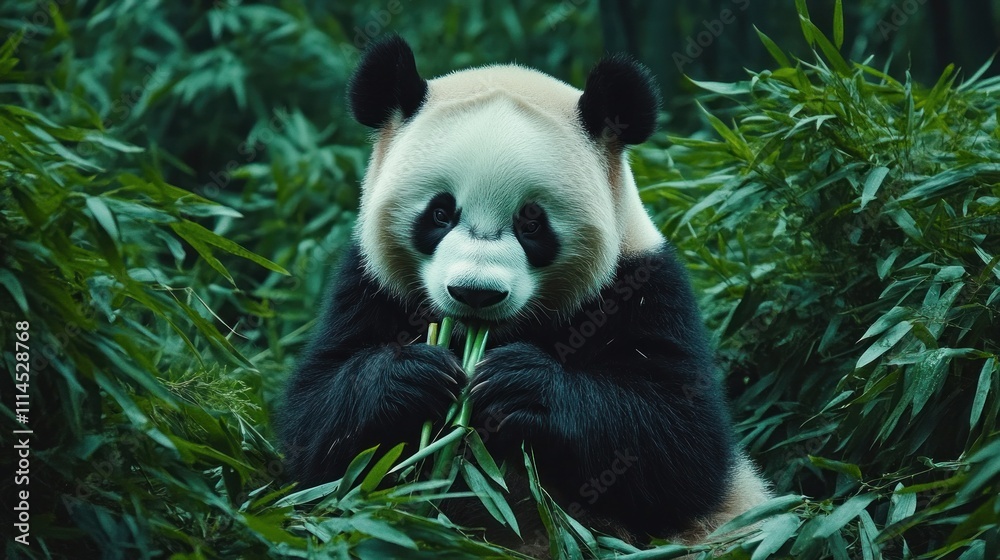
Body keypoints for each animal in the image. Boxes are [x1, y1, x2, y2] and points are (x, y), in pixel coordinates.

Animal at [279, 35, 770, 548]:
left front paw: (520, 385)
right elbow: (316, 430)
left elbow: (682, 445)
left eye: (531, 222)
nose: (475, 293)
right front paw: (412, 377)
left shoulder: (644, 285)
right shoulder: (368, 285)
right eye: (440, 213)